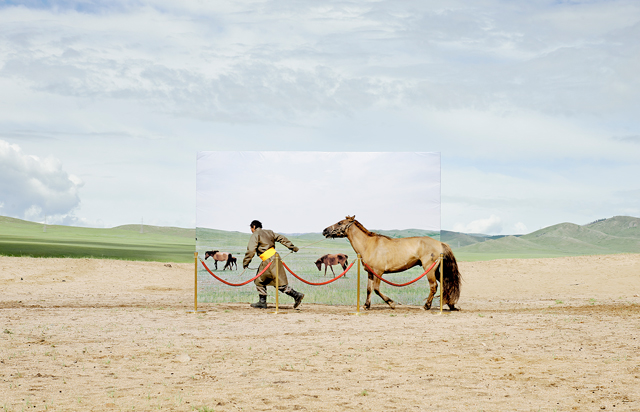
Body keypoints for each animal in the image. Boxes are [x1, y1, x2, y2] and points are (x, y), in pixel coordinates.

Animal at [324, 217, 460, 310]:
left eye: (340, 223)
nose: (325, 230)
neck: (368, 245)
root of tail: (440, 243)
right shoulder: (370, 273)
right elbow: (369, 289)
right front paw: (366, 305)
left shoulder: (378, 272)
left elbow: (376, 289)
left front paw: (391, 303)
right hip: (436, 270)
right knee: (444, 285)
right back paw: (451, 305)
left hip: (429, 269)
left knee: (434, 286)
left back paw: (426, 306)